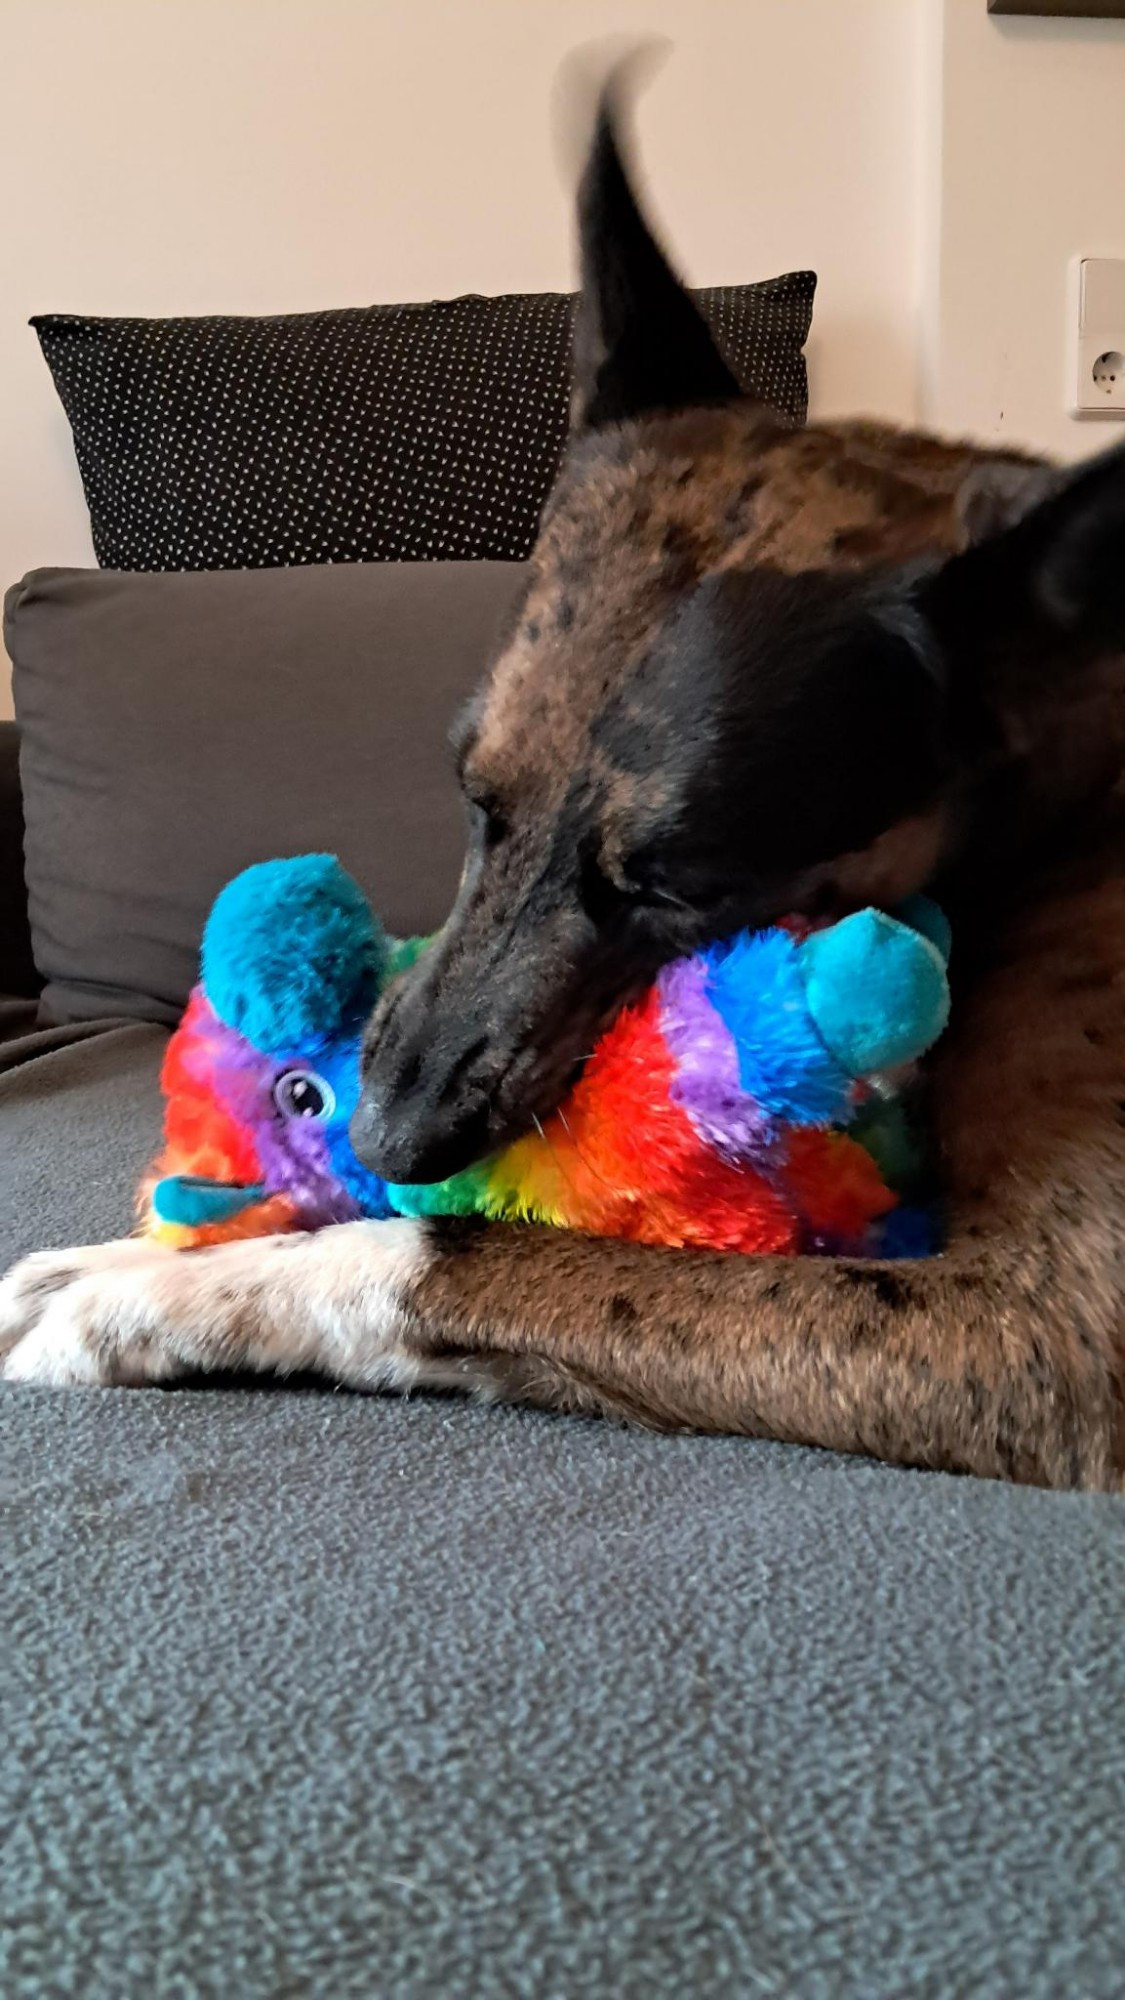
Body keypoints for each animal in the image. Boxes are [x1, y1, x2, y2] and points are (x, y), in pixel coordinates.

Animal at [2, 101, 1120, 1496]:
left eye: (681, 889)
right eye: (469, 791)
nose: (392, 1136)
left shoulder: (1044, 1320)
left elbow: (465, 1253)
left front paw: (150, 1290)